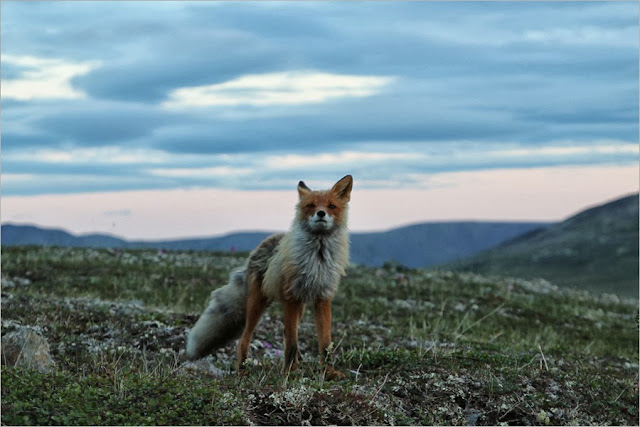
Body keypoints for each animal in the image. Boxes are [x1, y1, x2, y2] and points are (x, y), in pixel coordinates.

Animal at [188, 176, 352, 380]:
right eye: (311, 205)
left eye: (331, 206)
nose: (321, 213)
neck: (317, 258)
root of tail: (262, 245)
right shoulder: (291, 297)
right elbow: (291, 343)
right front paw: (287, 373)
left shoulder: (323, 298)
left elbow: (325, 344)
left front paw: (328, 372)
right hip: (257, 305)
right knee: (244, 339)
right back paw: (243, 369)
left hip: (299, 307)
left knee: (286, 332)